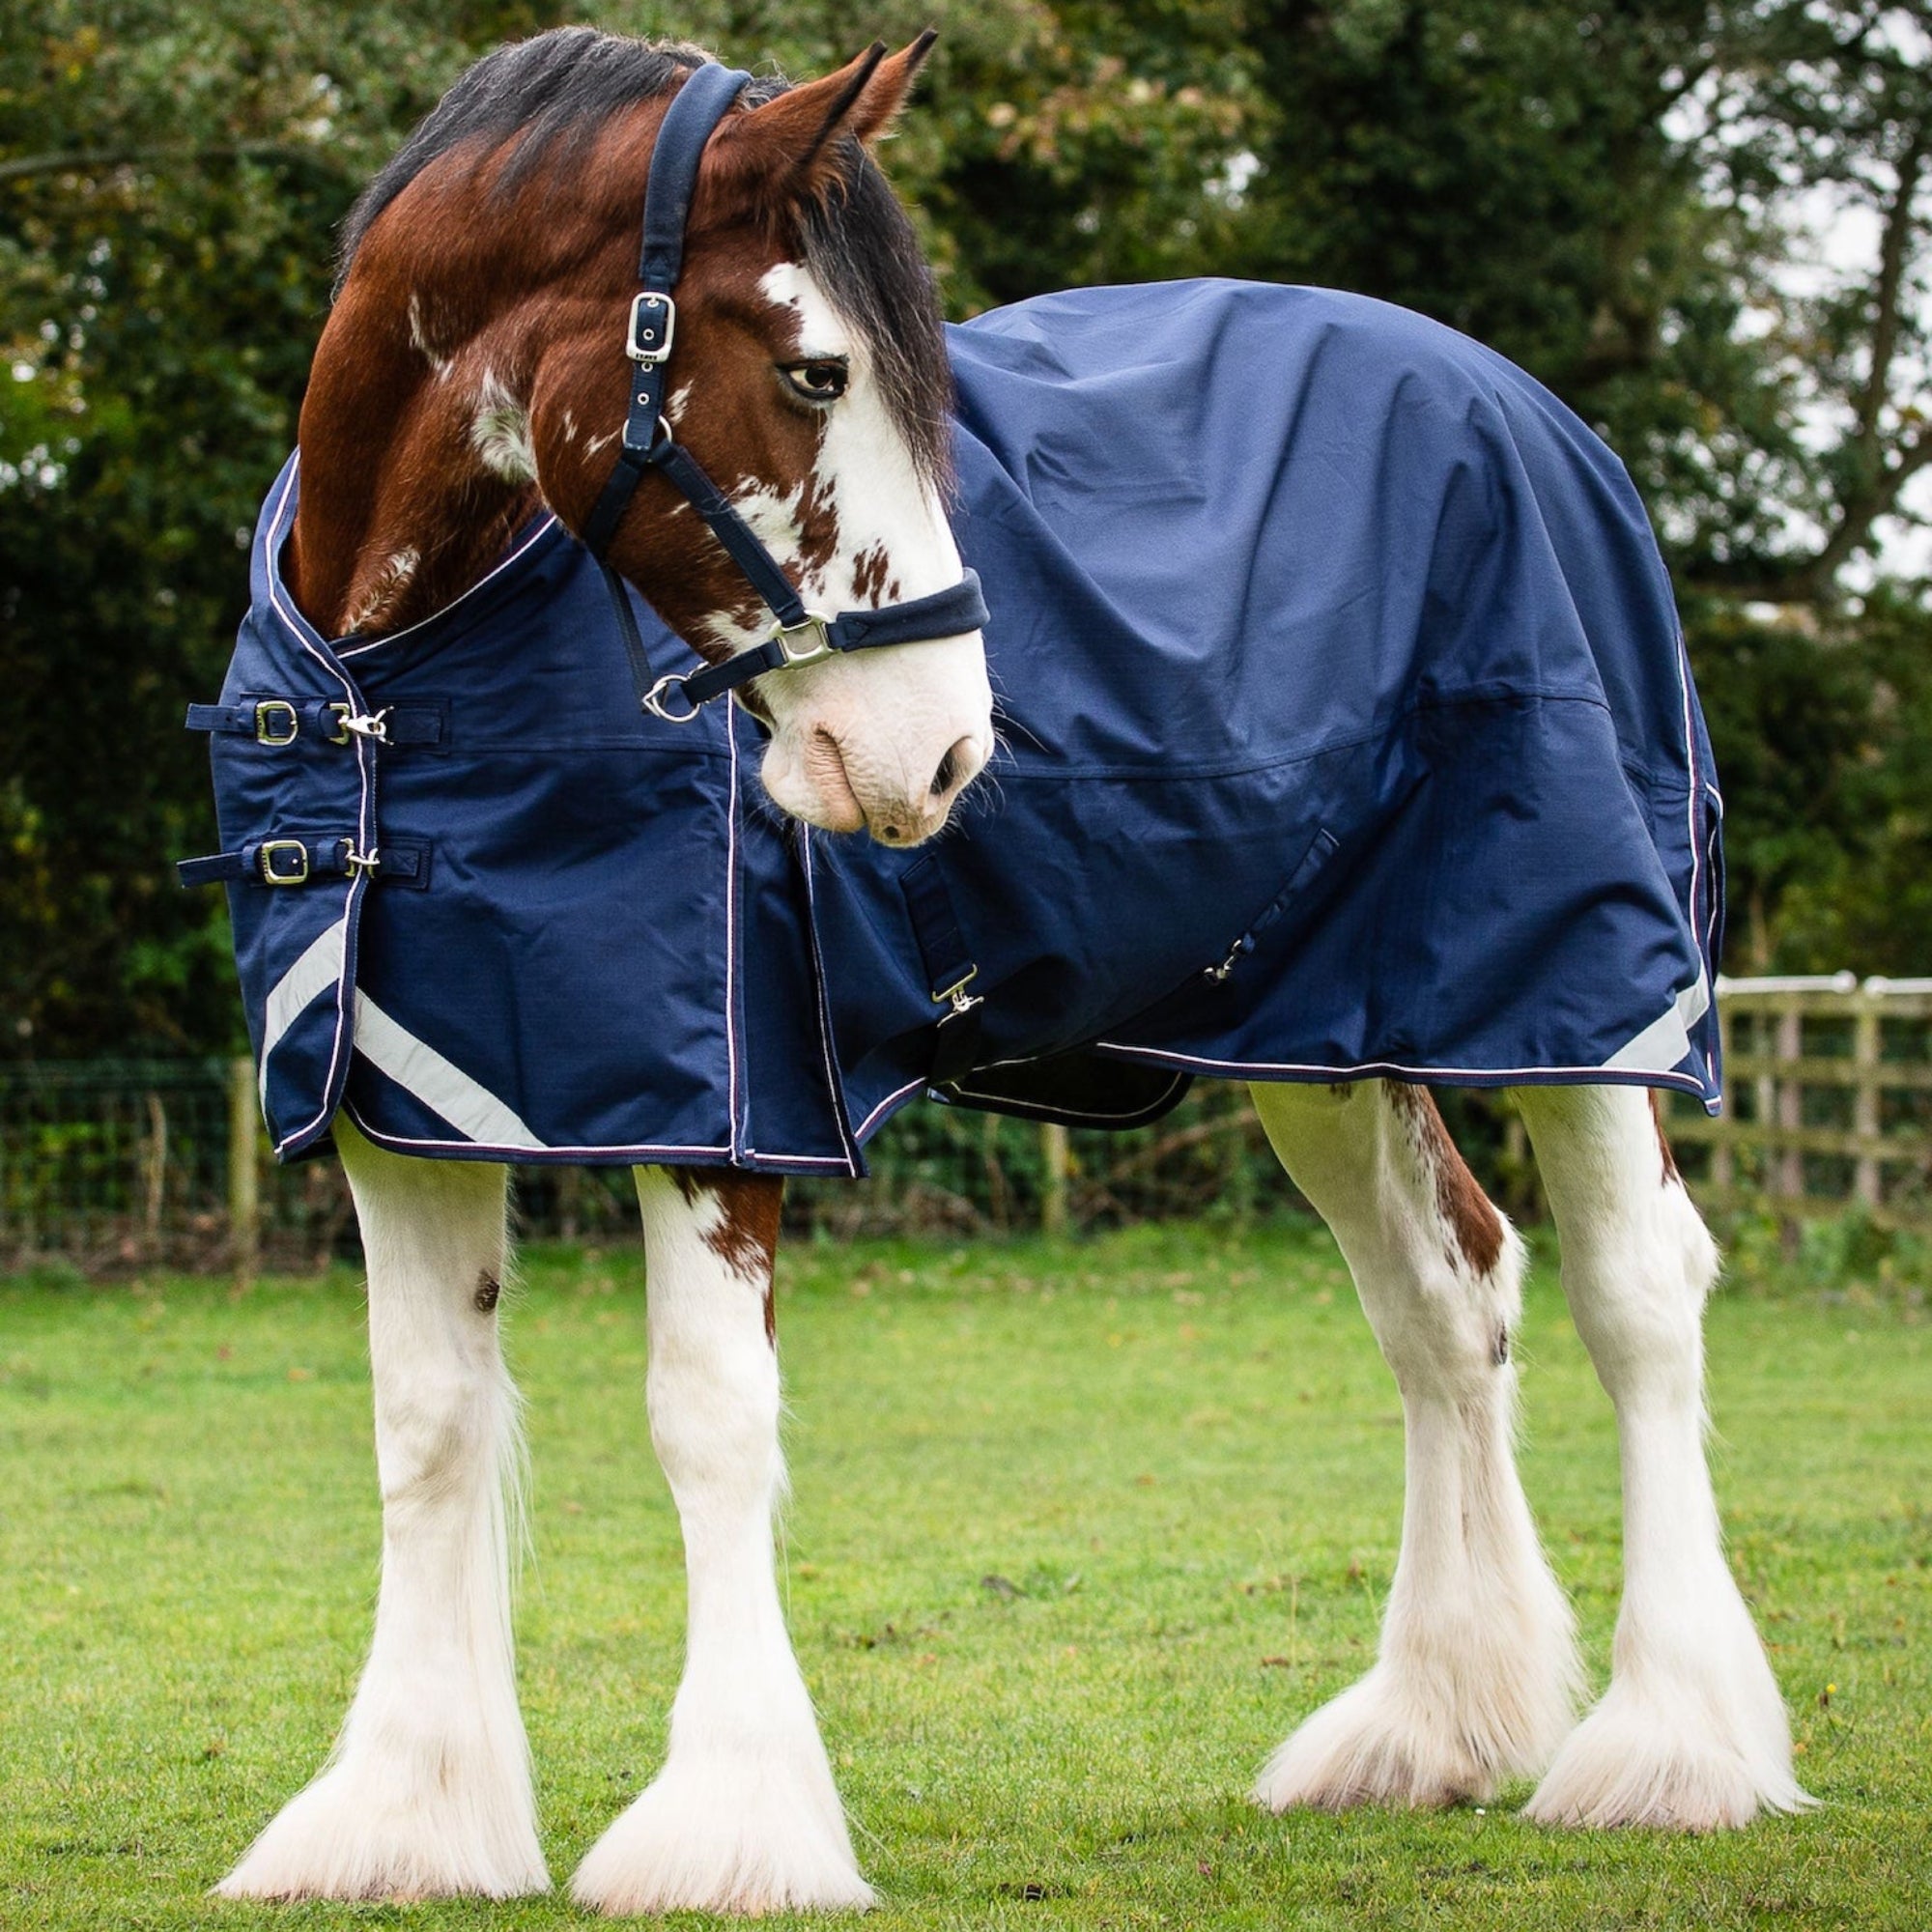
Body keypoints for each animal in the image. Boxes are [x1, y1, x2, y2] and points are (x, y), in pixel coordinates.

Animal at [197, 29, 1809, 1914]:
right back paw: (1431, 1728)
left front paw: (730, 1827)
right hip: (1325, 1039)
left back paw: (1674, 1751)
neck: (399, 680)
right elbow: (428, 1428)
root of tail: (1534, 418)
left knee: (1639, 1298)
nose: (946, 752)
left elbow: (707, 1420)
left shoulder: (730, 1111)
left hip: (1576, 998)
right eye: (817, 370)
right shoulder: (400, 1112)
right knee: (1445, 1300)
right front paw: (398, 1816)